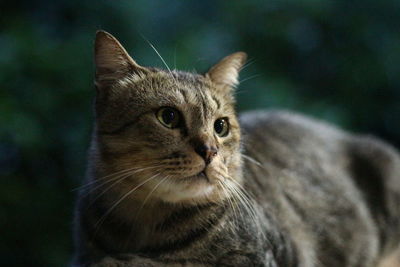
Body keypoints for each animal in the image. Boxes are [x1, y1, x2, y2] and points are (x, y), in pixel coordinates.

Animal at [72, 30, 400, 266]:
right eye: (168, 117)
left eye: (221, 126)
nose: (209, 151)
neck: (143, 227)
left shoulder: (267, 256)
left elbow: (169, 263)